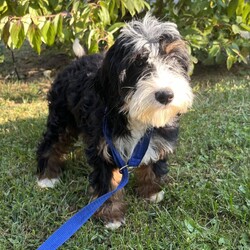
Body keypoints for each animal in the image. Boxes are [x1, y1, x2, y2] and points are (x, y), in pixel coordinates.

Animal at [37, 13, 193, 229]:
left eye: (174, 59)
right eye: (138, 63)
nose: (165, 95)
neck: (133, 115)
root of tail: (78, 60)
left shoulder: (158, 138)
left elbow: (154, 162)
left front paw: (152, 191)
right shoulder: (105, 145)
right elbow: (109, 181)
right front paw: (112, 216)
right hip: (61, 114)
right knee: (52, 140)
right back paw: (47, 176)